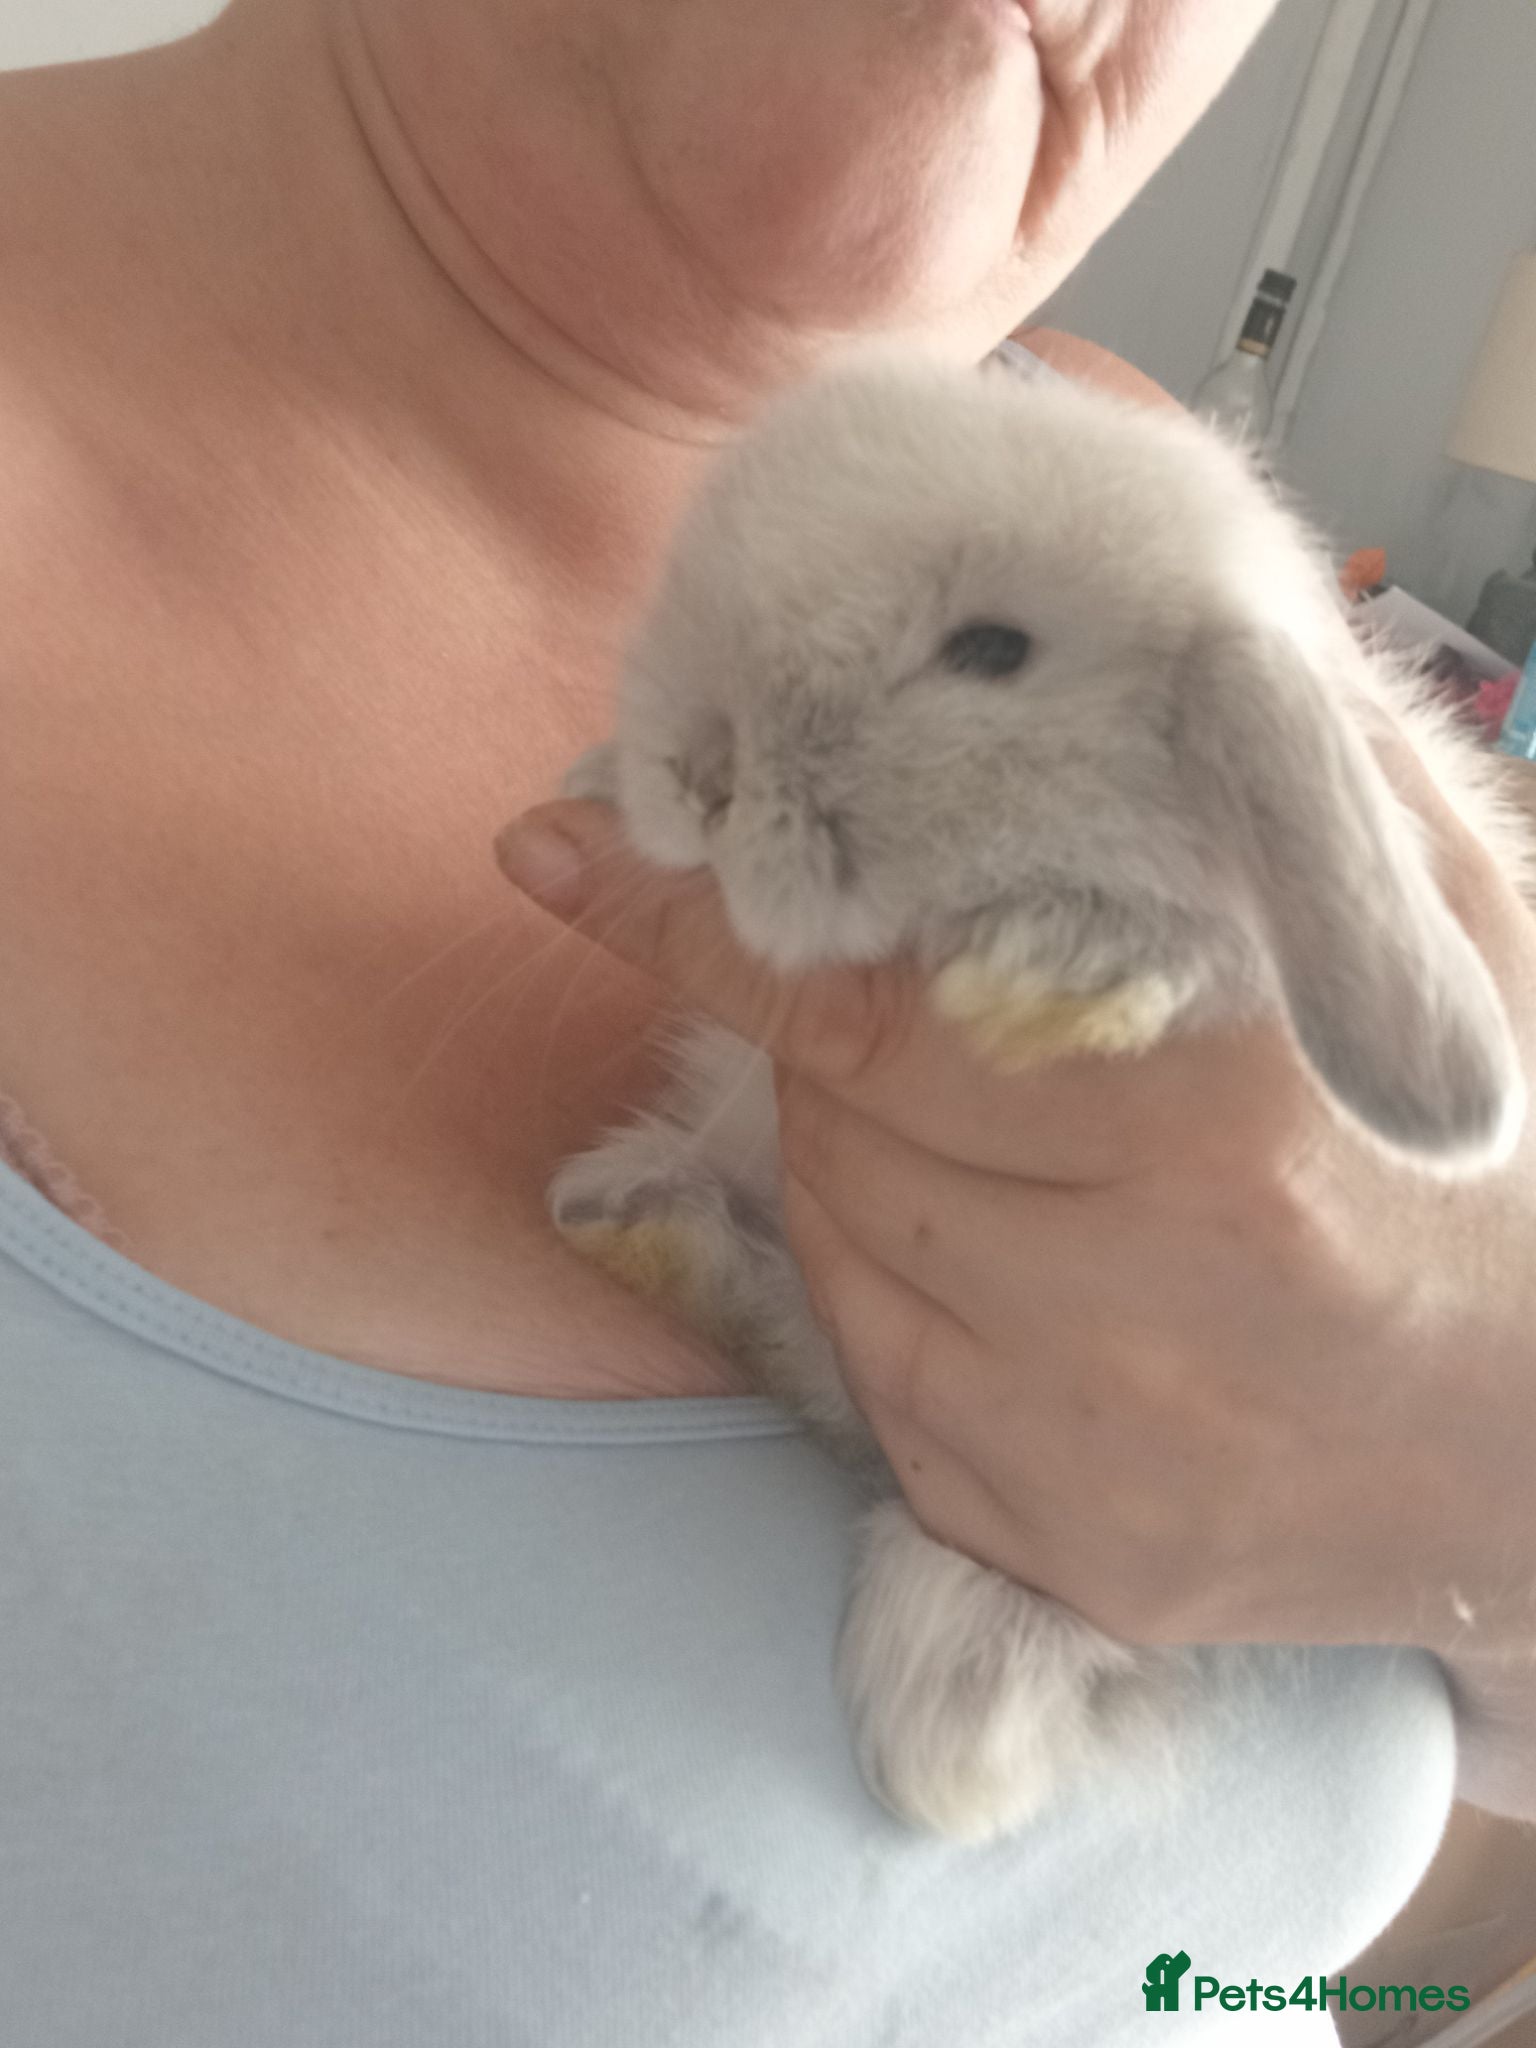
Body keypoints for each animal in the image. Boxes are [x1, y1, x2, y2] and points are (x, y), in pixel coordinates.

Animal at [545, 350, 1531, 1843]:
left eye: (993, 652)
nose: (699, 773)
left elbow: (1174, 946)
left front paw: (1054, 975)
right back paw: (630, 1219)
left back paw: (954, 1723)